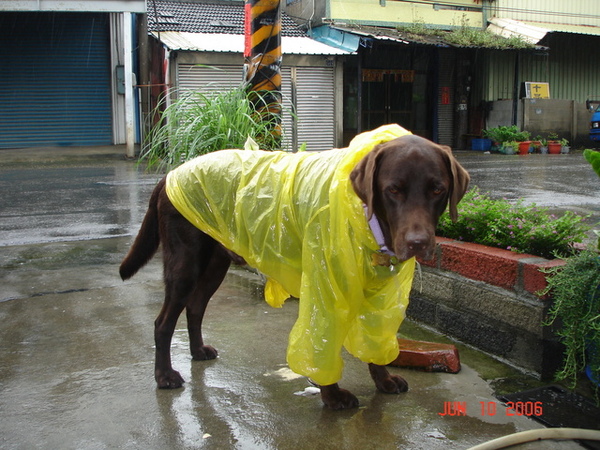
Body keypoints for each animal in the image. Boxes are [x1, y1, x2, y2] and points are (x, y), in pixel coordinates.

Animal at [120, 132, 468, 410]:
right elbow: (320, 344)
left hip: (216, 263)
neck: (364, 217)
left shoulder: (379, 295)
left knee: (194, 307)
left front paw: (383, 381)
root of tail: (169, 175)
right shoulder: (324, 285)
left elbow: (373, 340)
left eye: (437, 190)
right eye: (393, 190)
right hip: (185, 263)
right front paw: (333, 396)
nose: (417, 242)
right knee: (163, 322)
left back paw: (196, 352)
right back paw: (165, 376)